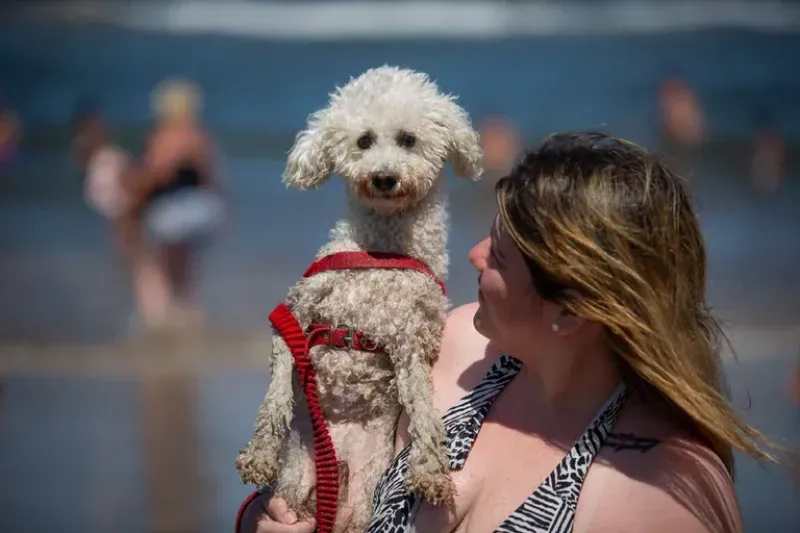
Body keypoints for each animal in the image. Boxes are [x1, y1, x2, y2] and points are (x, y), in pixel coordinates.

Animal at [234, 64, 484, 528]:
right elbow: (275, 396)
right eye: (364, 140)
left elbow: (424, 414)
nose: (383, 177)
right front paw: (260, 454)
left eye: (407, 139)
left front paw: (430, 472)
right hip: (297, 483)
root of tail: (342, 465)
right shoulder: (293, 314)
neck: (380, 255)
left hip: (364, 496)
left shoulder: (411, 344)